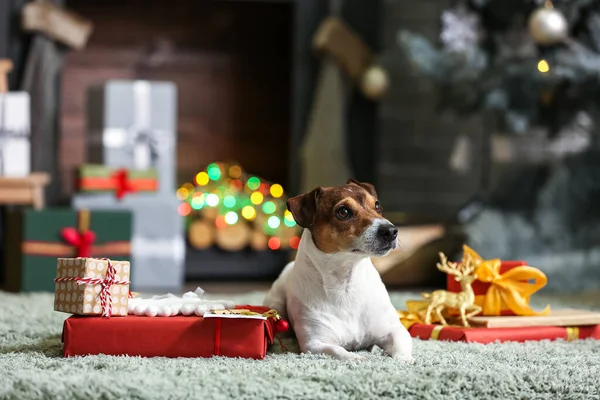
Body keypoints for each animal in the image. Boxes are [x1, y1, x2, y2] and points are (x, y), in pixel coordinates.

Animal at [264, 179, 414, 362]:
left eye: (377, 205)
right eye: (343, 212)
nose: (391, 231)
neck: (346, 284)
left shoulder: (393, 330)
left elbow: (401, 344)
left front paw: (404, 360)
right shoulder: (315, 344)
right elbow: (340, 352)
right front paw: (358, 359)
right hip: (276, 303)